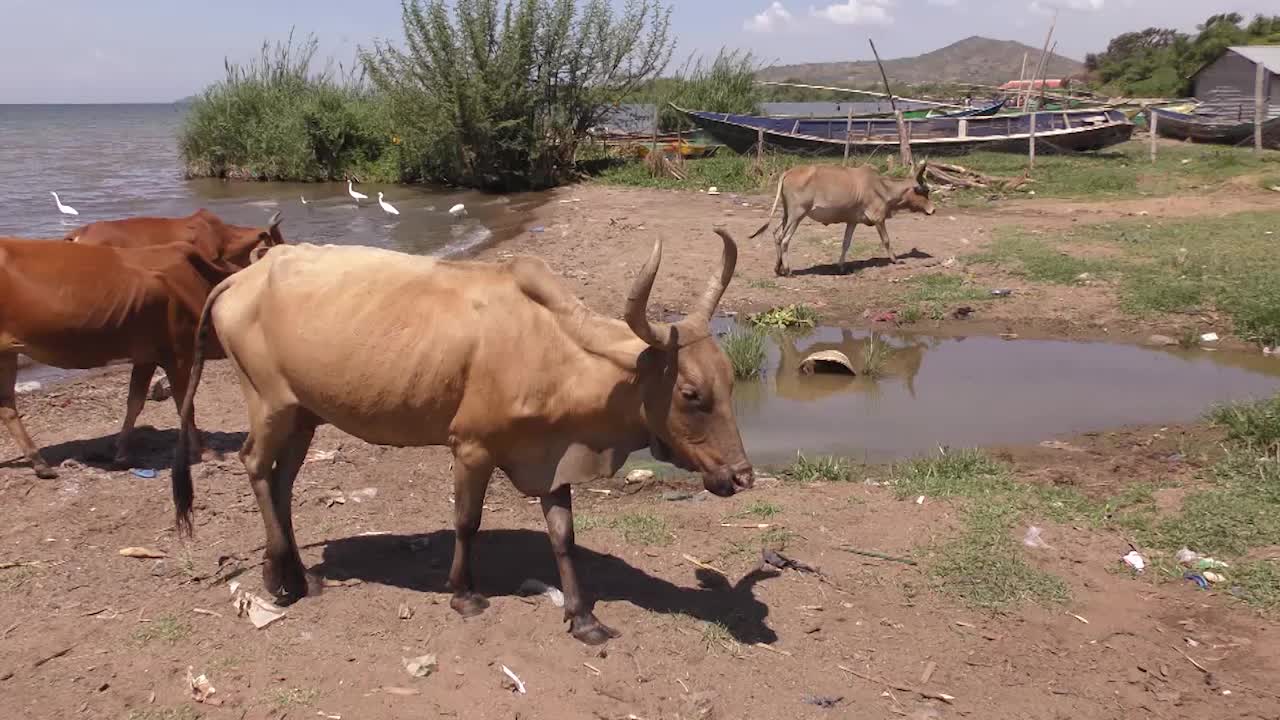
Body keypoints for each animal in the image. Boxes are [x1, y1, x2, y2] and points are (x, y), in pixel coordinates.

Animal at [0, 223, 276, 479]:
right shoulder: (178, 355)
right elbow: (185, 404)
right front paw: (205, 451)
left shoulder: (147, 356)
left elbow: (135, 402)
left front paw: (121, 452)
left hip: (8, 353)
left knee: (7, 407)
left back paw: (40, 463)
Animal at [171, 230, 754, 645]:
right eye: (691, 393)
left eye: (730, 381)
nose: (742, 475)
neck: (547, 344)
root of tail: (245, 277)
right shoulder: (471, 448)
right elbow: (467, 522)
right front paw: (464, 593)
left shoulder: (552, 457)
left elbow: (563, 536)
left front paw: (583, 617)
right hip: (269, 404)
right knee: (254, 466)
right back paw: (277, 579)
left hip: (304, 414)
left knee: (283, 482)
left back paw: (297, 574)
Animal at [751, 162, 936, 276]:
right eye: (925, 191)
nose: (933, 209)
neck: (883, 187)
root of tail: (788, 172)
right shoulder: (878, 218)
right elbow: (886, 240)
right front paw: (895, 259)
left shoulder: (852, 221)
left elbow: (846, 243)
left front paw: (841, 267)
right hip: (798, 214)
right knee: (784, 238)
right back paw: (788, 269)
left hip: (787, 213)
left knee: (776, 234)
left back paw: (778, 268)